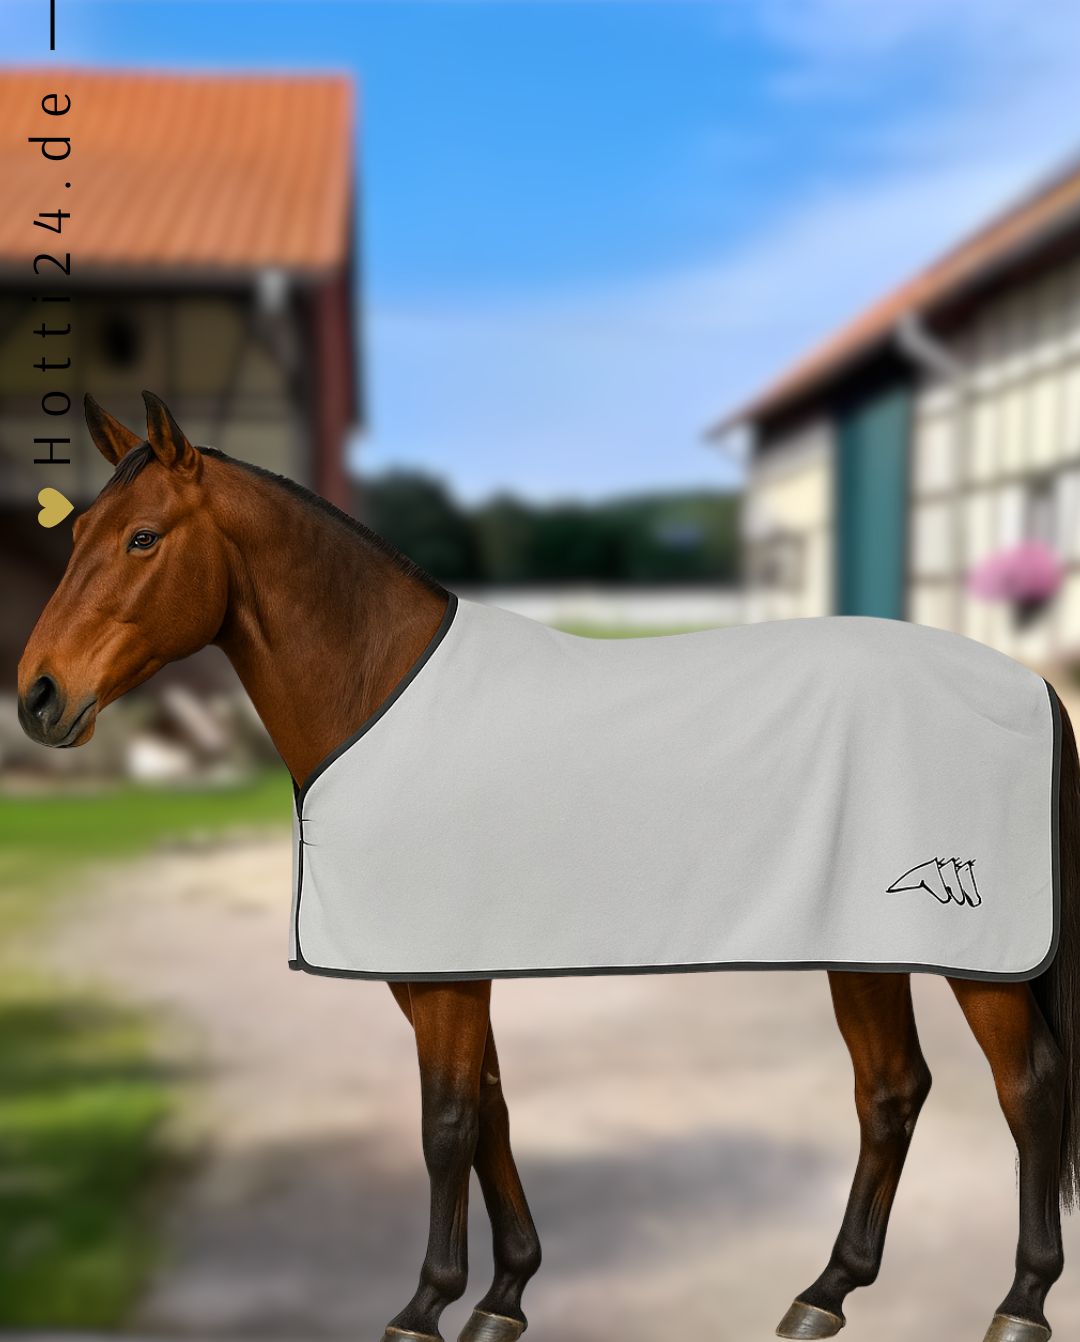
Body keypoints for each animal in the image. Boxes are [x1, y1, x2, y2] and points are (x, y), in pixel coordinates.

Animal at [17, 391, 1080, 1342]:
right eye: (78, 537)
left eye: (143, 538)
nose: (38, 698)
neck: (380, 689)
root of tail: (1031, 685)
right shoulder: (435, 969)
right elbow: (490, 1109)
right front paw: (505, 1296)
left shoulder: (446, 973)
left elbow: (446, 1122)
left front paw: (425, 1307)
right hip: (863, 943)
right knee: (891, 1090)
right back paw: (825, 1294)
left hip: (976, 953)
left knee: (1027, 1088)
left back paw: (1020, 1304)